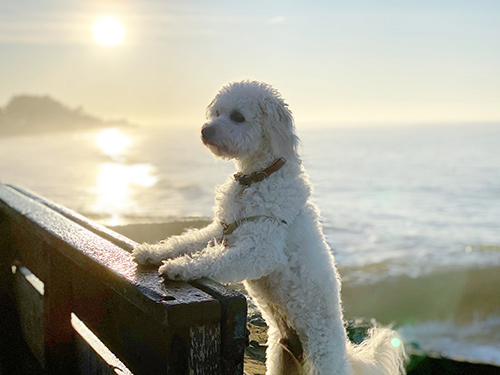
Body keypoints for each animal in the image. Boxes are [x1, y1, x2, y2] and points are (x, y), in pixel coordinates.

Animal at [133, 81, 406, 375]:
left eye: (238, 117)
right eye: (217, 112)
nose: (205, 130)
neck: (258, 178)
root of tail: (347, 354)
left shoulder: (262, 249)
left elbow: (213, 259)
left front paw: (180, 267)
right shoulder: (222, 229)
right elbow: (186, 241)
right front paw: (151, 252)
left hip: (322, 360)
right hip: (278, 355)